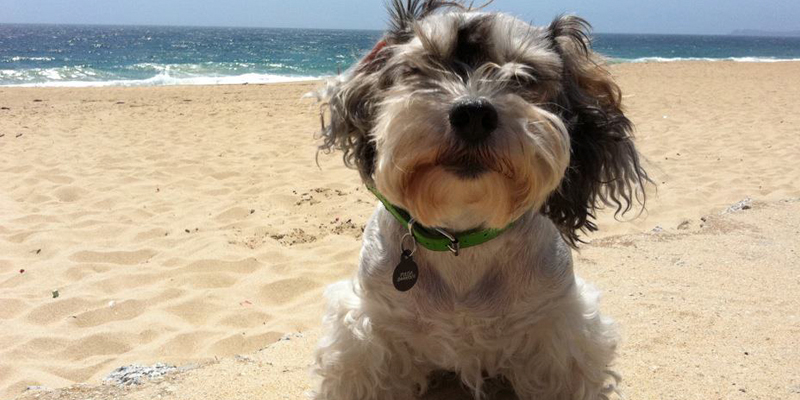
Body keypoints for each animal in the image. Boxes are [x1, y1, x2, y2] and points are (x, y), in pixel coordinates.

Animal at [310, 1, 648, 398]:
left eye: (523, 77)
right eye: (423, 64)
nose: (473, 114)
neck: (461, 238)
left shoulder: (558, 328)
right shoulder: (370, 329)